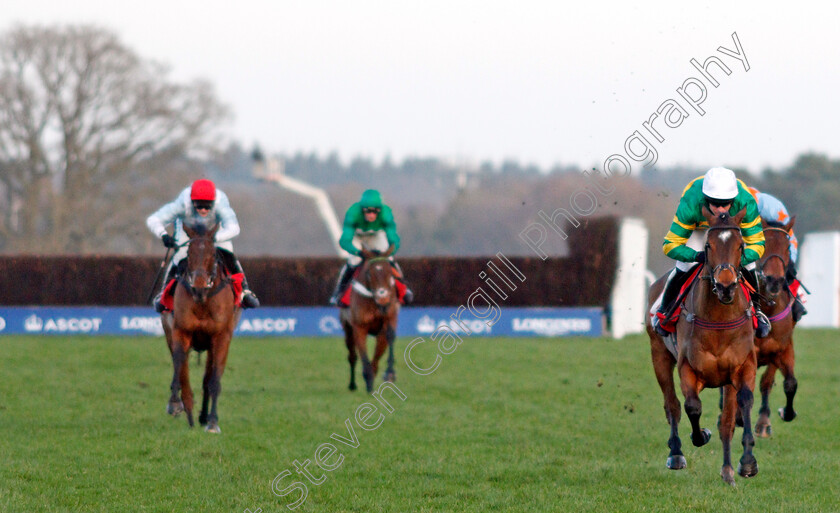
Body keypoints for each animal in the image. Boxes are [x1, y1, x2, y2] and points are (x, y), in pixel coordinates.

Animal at [161, 222, 240, 430]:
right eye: (189, 252)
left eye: (212, 253)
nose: (198, 287)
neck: (203, 301)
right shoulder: (181, 332)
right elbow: (181, 371)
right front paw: (181, 407)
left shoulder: (221, 337)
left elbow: (213, 380)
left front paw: (212, 421)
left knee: (207, 378)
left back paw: (204, 416)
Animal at [340, 245, 398, 392]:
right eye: (369, 274)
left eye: (390, 272)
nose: (383, 298)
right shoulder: (359, 328)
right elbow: (364, 356)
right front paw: (369, 380)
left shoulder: (387, 321)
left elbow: (381, 350)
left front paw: (389, 374)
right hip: (347, 328)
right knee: (352, 356)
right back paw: (352, 385)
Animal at [648, 207, 760, 484]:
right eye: (708, 246)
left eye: (741, 245)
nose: (726, 285)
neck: (718, 320)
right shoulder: (687, 368)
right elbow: (692, 406)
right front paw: (701, 435)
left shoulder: (740, 367)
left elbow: (737, 410)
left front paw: (743, 464)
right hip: (659, 355)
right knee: (672, 405)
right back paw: (676, 454)